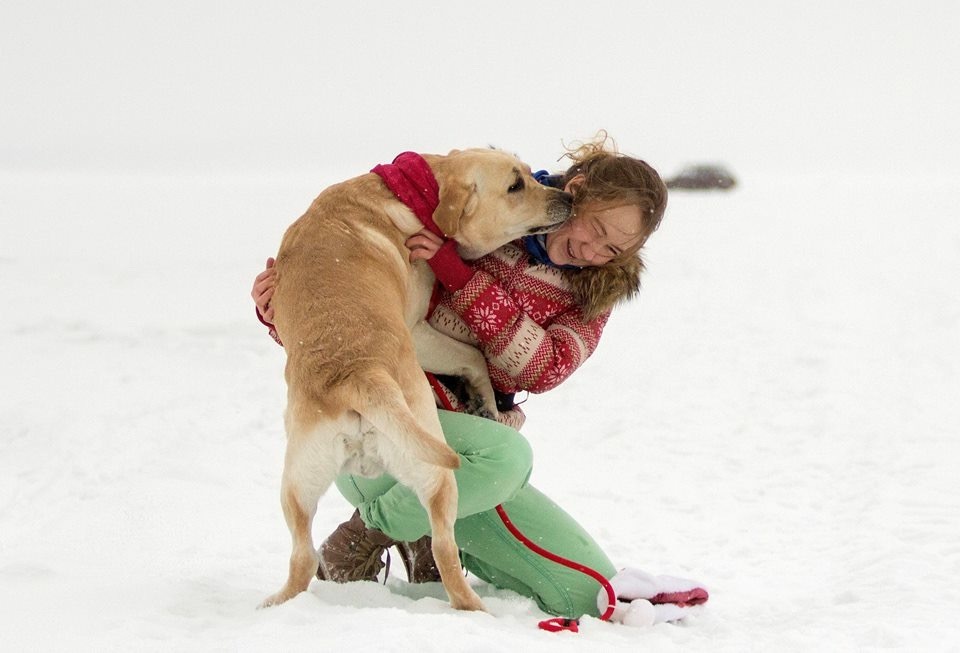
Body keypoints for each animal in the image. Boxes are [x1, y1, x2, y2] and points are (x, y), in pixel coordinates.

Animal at [260, 149, 568, 612]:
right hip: (437, 473)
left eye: (531, 175)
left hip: (297, 485)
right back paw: (479, 610)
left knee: (302, 558)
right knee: (443, 549)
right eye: (515, 185)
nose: (568, 197)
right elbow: (474, 356)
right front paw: (484, 400)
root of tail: (358, 375)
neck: (419, 195)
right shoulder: (418, 332)